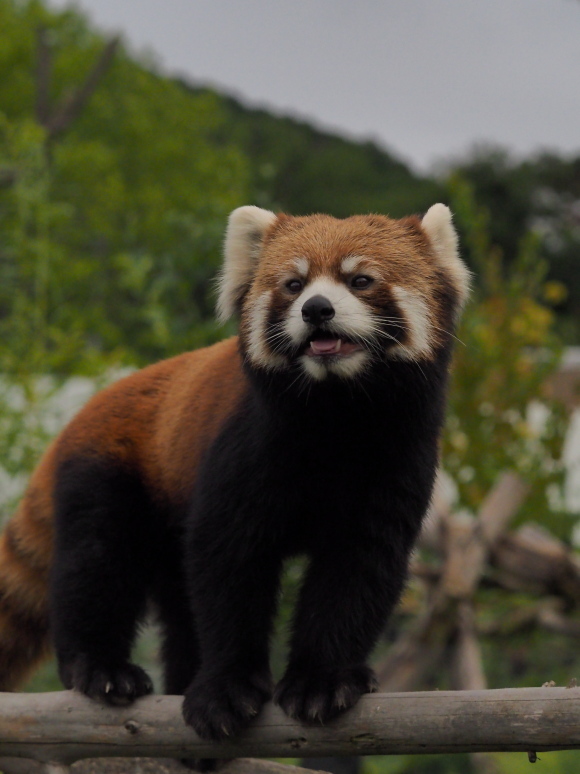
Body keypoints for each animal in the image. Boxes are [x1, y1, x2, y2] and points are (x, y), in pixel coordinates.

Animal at [0, 206, 466, 744]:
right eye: (293, 284)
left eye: (360, 280)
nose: (316, 309)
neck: (336, 415)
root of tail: (78, 416)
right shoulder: (244, 450)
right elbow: (227, 566)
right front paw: (226, 689)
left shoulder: (398, 461)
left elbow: (357, 572)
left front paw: (322, 681)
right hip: (109, 470)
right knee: (96, 565)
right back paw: (101, 669)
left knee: (176, 606)